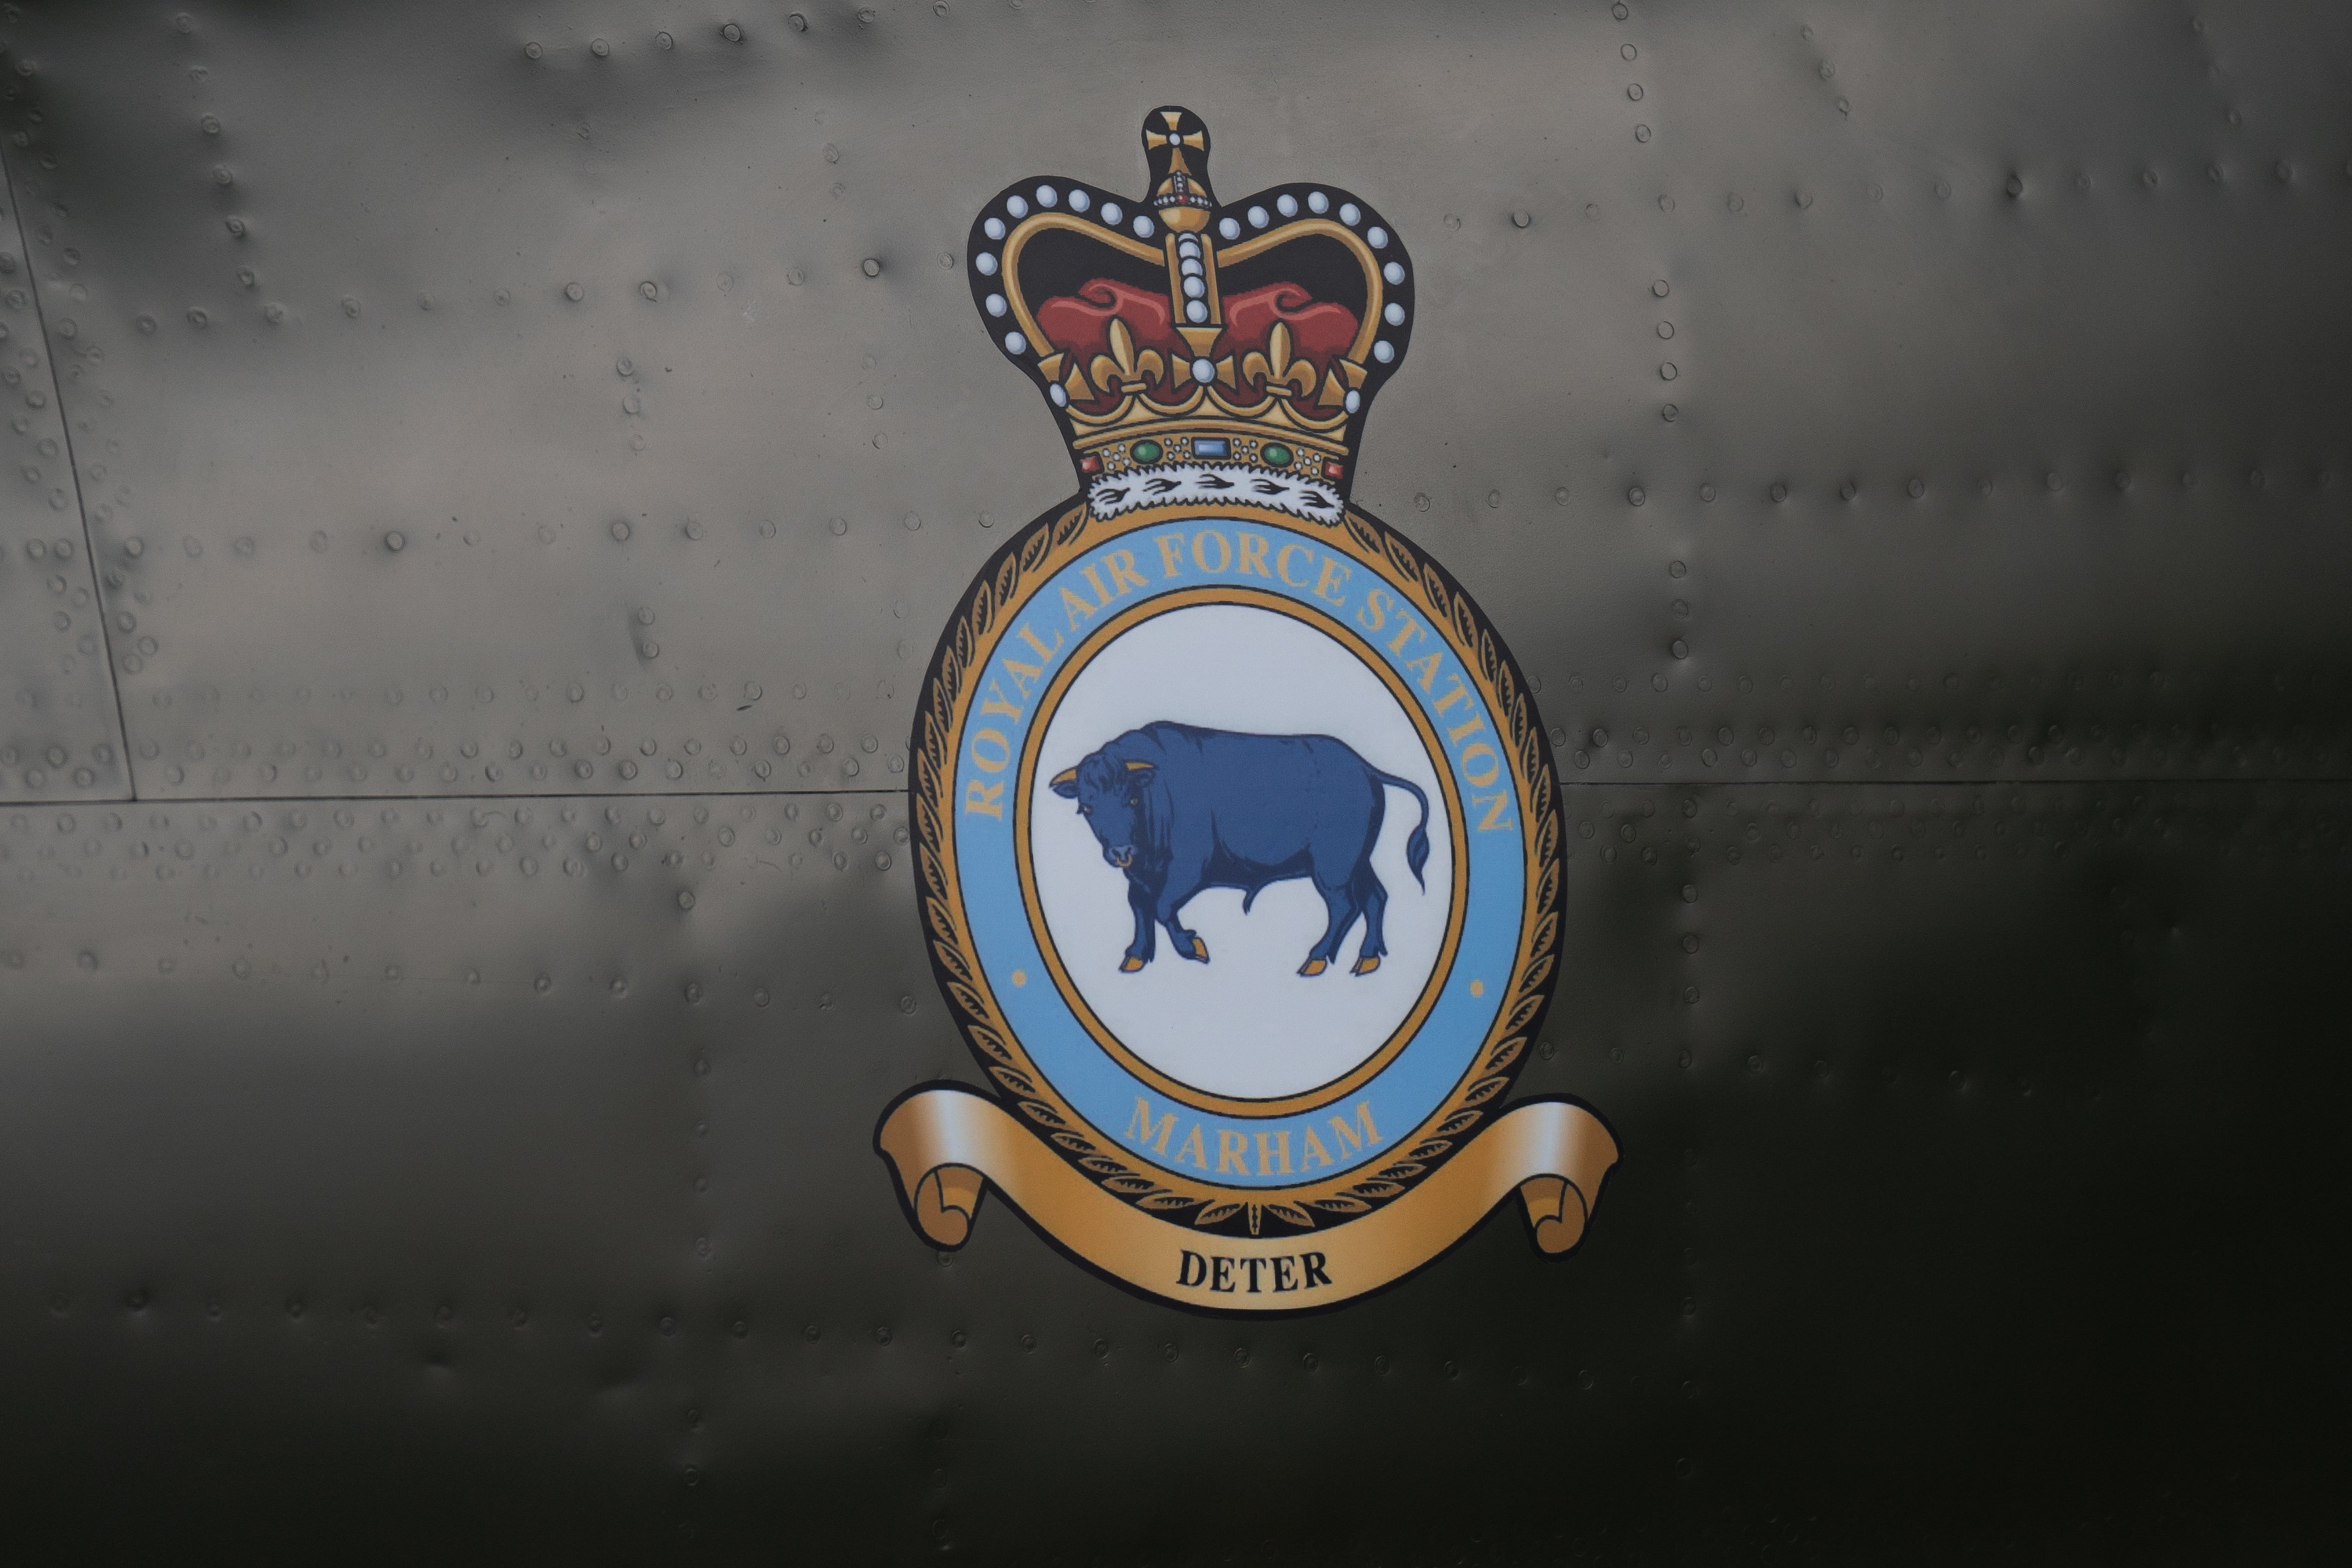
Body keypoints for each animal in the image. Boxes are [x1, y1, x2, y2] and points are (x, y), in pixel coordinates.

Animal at [1054, 729, 1430, 973]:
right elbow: (1140, 907)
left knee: (1344, 906)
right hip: (1358, 863)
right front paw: (1134, 957)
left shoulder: (1187, 872)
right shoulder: (1141, 876)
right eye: (1087, 807)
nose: (1121, 852)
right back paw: (1366, 959)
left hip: (1332, 869)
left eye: (1131, 799)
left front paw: (1195, 948)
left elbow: (1161, 908)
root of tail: (1365, 767)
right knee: (1375, 897)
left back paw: (1315, 959)